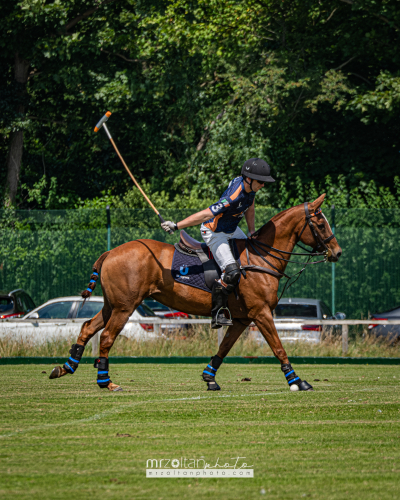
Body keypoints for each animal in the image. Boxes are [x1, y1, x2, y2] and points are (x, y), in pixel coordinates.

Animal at [50, 193, 340, 392]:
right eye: (320, 224)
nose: (336, 253)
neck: (261, 257)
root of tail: (110, 251)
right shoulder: (261, 313)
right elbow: (278, 347)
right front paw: (298, 381)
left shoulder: (242, 318)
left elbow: (224, 347)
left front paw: (209, 378)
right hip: (125, 306)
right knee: (107, 336)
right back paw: (106, 382)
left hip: (112, 303)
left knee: (88, 326)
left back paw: (65, 368)